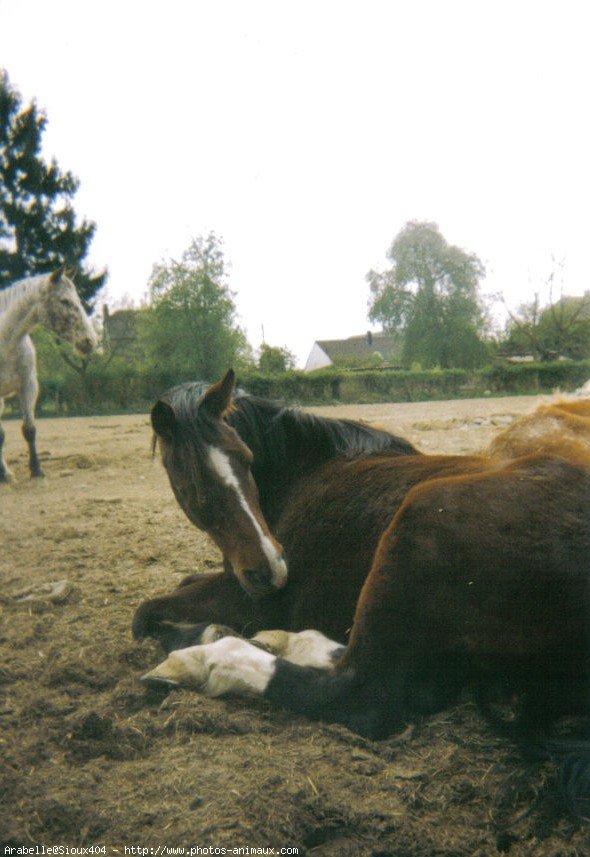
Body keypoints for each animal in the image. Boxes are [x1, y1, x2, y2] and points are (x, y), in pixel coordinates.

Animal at [0, 268, 97, 482]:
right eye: (65, 301)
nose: (90, 341)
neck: (6, 344)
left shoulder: (29, 385)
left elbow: (29, 430)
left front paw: (36, 470)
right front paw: (5, 475)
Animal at [136, 378, 590, 812]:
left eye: (246, 459)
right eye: (193, 483)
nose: (271, 569)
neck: (304, 473)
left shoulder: (248, 598)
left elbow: (145, 614)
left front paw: (201, 635)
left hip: (421, 516)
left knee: (357, 695)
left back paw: (206, 660)